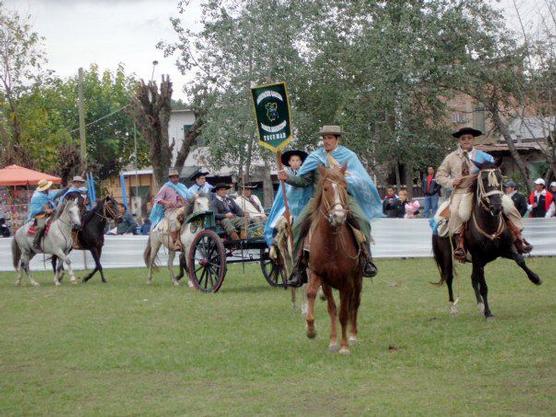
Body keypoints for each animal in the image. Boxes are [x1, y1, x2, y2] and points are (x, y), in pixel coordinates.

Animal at [304, 164, 364, 352]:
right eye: (325, 188)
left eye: (345, 187)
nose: (338, 216)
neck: (331, 245)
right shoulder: (321, 277)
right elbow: (327, 306)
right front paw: (316, 333)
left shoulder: (346, 281)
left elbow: (344, 314)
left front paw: (344, 346)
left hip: (357, 280)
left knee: (354, 304)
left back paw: (353, 336)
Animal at [432, 161, 540, 316]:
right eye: (483, 180)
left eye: (500, 178)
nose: (497, 207)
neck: (490, 226)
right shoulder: (479, 258)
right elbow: (484, 286)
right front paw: (488, 313)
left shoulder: (505, 250)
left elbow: (520, 260)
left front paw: (535, 278)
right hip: (447, 257)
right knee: (449, 277)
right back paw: (453, 307)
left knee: (472, 278)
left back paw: (480, 305)